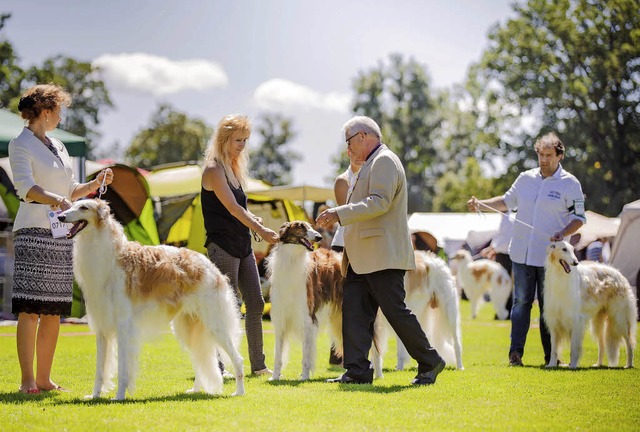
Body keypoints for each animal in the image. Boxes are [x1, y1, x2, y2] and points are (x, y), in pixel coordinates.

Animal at [58, 199, 245, 398]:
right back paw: (194, 390)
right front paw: (94, 395)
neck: (110, 255)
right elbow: (100, 370)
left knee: (238, 359)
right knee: (200, 360)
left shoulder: (124, 326)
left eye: (84, 207)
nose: (60, 216)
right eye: (73, 205)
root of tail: (210, 266)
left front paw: (119, 396)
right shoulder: (102, 328)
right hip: (188, 327)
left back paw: (239, 392)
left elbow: (123, 369)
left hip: (215, 324)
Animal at [264, 221, 344, 380]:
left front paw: (304, 376)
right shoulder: (281, 318)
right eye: (301, 226)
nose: (319, 237)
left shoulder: (307, 319)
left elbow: (306, 355)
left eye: (311, 226)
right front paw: (275, 376)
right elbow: (277, 356)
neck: (292, 260)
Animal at [544, 240, 636, 368]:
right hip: (598, 322)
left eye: (573, 250)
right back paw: (598, 364)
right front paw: (551, 365)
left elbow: (574, 348)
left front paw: (572, 365)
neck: (561, 277)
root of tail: (619, 274)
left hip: (620, 319)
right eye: (564, 249)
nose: (576, 262)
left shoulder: (576, 322)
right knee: (602, 345)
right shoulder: (554, 321)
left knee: (629, 342)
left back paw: (629, 364)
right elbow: (554, 349)